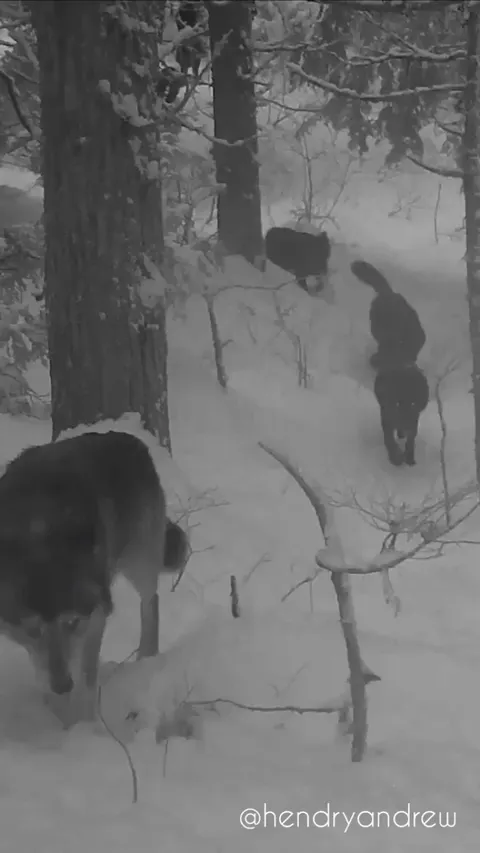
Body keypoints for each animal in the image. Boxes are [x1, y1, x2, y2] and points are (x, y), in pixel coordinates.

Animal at [0, 431, 190, 723]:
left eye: (72, 623)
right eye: (32, 629)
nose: (62, 685)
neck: (38, 527)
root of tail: (130, 438)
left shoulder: (97, 611)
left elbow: (87, 680)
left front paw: (83, 724)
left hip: (138, 562)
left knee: (151, 601)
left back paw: (146, 659)